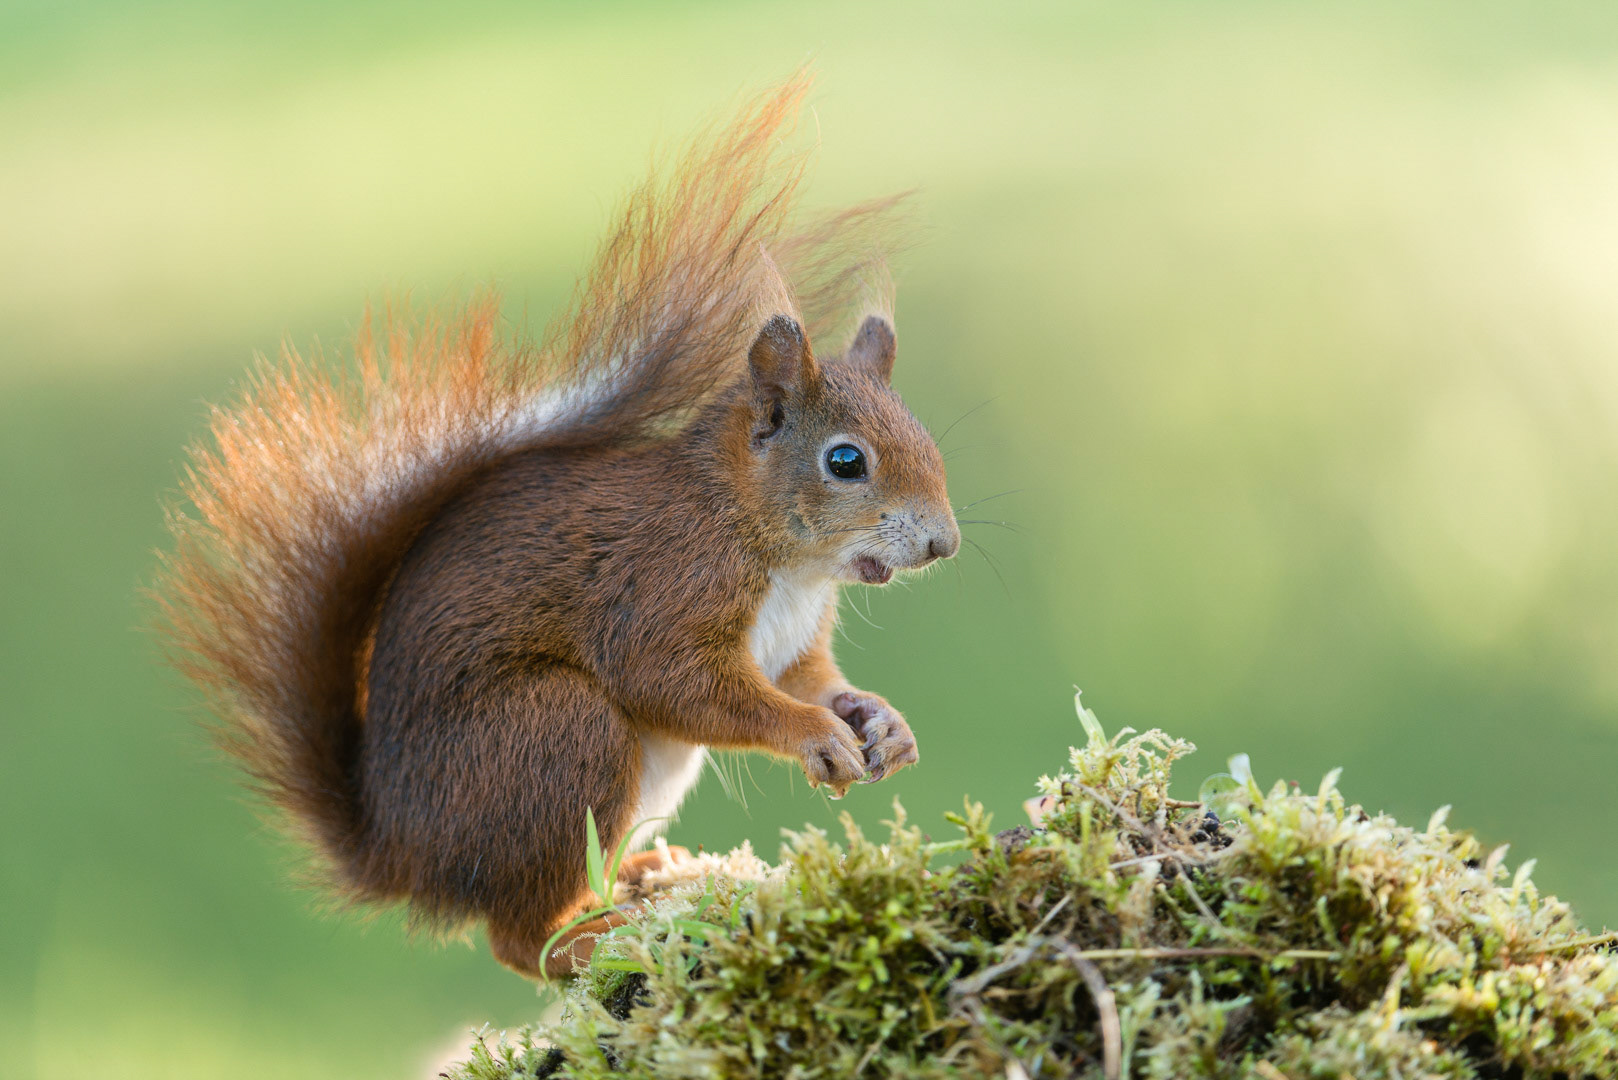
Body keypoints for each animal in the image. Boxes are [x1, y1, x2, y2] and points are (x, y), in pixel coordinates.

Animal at [154, 75, 959, 979]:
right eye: (845, 461)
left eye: (924, 436)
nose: (944, 543)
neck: (777, 552)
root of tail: (402, 857)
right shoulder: (662, 585)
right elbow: (675, 680)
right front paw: (814, 734)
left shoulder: (791, 644)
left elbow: (810, 679)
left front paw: (880, 723)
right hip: (554, 737)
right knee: (514, 937)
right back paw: (590, 937)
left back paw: (649, 874)